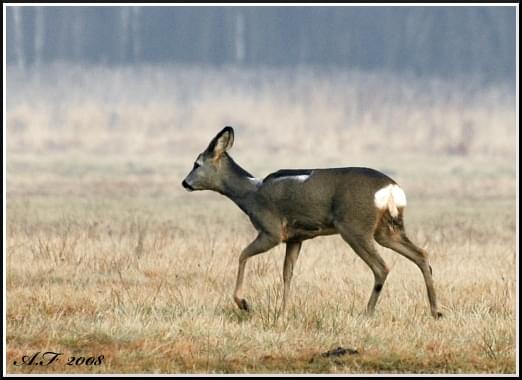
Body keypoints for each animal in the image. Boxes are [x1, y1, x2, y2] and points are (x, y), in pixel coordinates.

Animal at [181, 127, 440, 318]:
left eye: (196, 163)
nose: (185, 183)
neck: (250, 194)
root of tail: (392, 189)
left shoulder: (271, 230)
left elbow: (242, 255)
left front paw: (244, 303)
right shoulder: (295, 238)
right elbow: (287, 273)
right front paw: (283, 314)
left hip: (355, 227)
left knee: (381, 267)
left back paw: (366, 313)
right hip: (387, 230)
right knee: (422, 255)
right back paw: (435, 311)